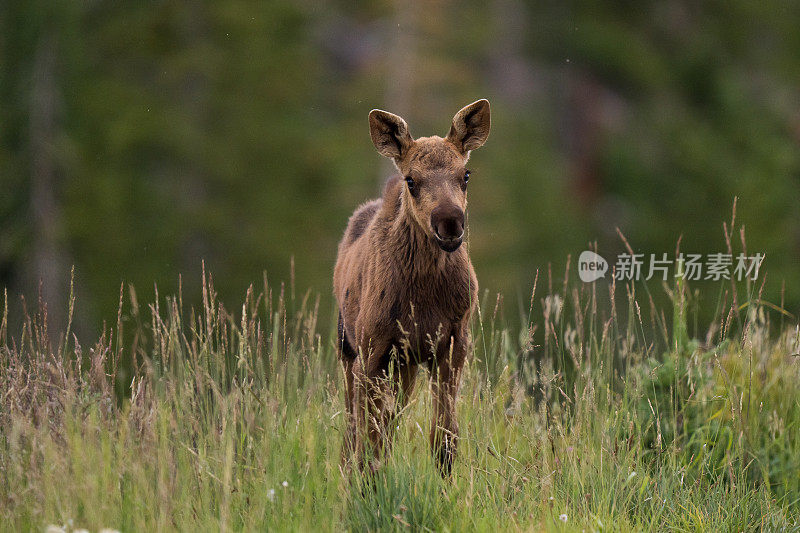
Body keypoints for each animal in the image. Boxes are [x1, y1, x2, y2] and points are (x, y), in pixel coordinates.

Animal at [334, 98, 490, 474]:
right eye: (411, 179)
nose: (449, 221)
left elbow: (444, 438)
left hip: (405, 366)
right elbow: (369, 443)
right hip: (349, 348)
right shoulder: (372, 351)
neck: (425, 295)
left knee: (388, 424)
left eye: (465, 175)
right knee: (352, 433)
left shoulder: (451, 344)